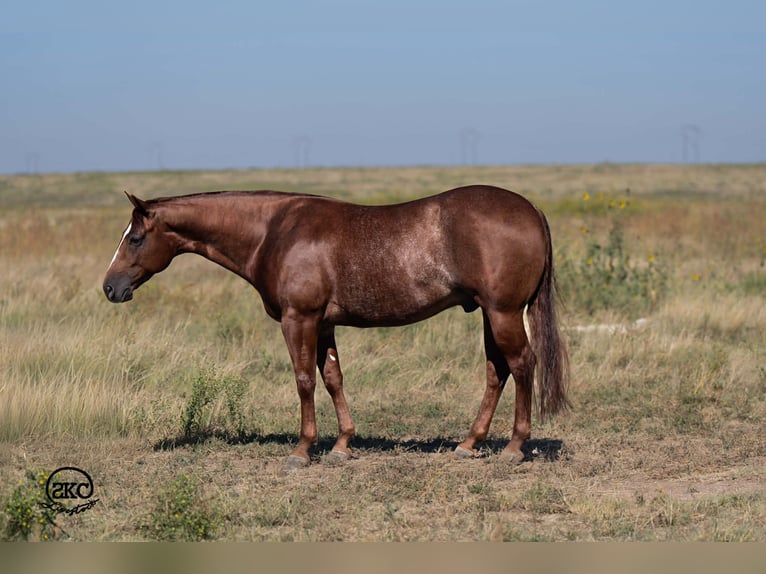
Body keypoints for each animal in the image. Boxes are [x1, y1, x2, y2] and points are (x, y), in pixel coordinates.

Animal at [103, 185, 569, 470]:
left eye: (135, 238)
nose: (110, 287)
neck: (273, 232)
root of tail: (531, 209)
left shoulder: (299, 318)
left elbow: (304, 380)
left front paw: (302, 449)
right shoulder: (324, 324)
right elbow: (332, 378)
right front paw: (343, 445)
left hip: (503, 312)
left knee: (521, 365)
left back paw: (514, 447)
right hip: (491, 314)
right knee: (497, 371)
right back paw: (469, 443)